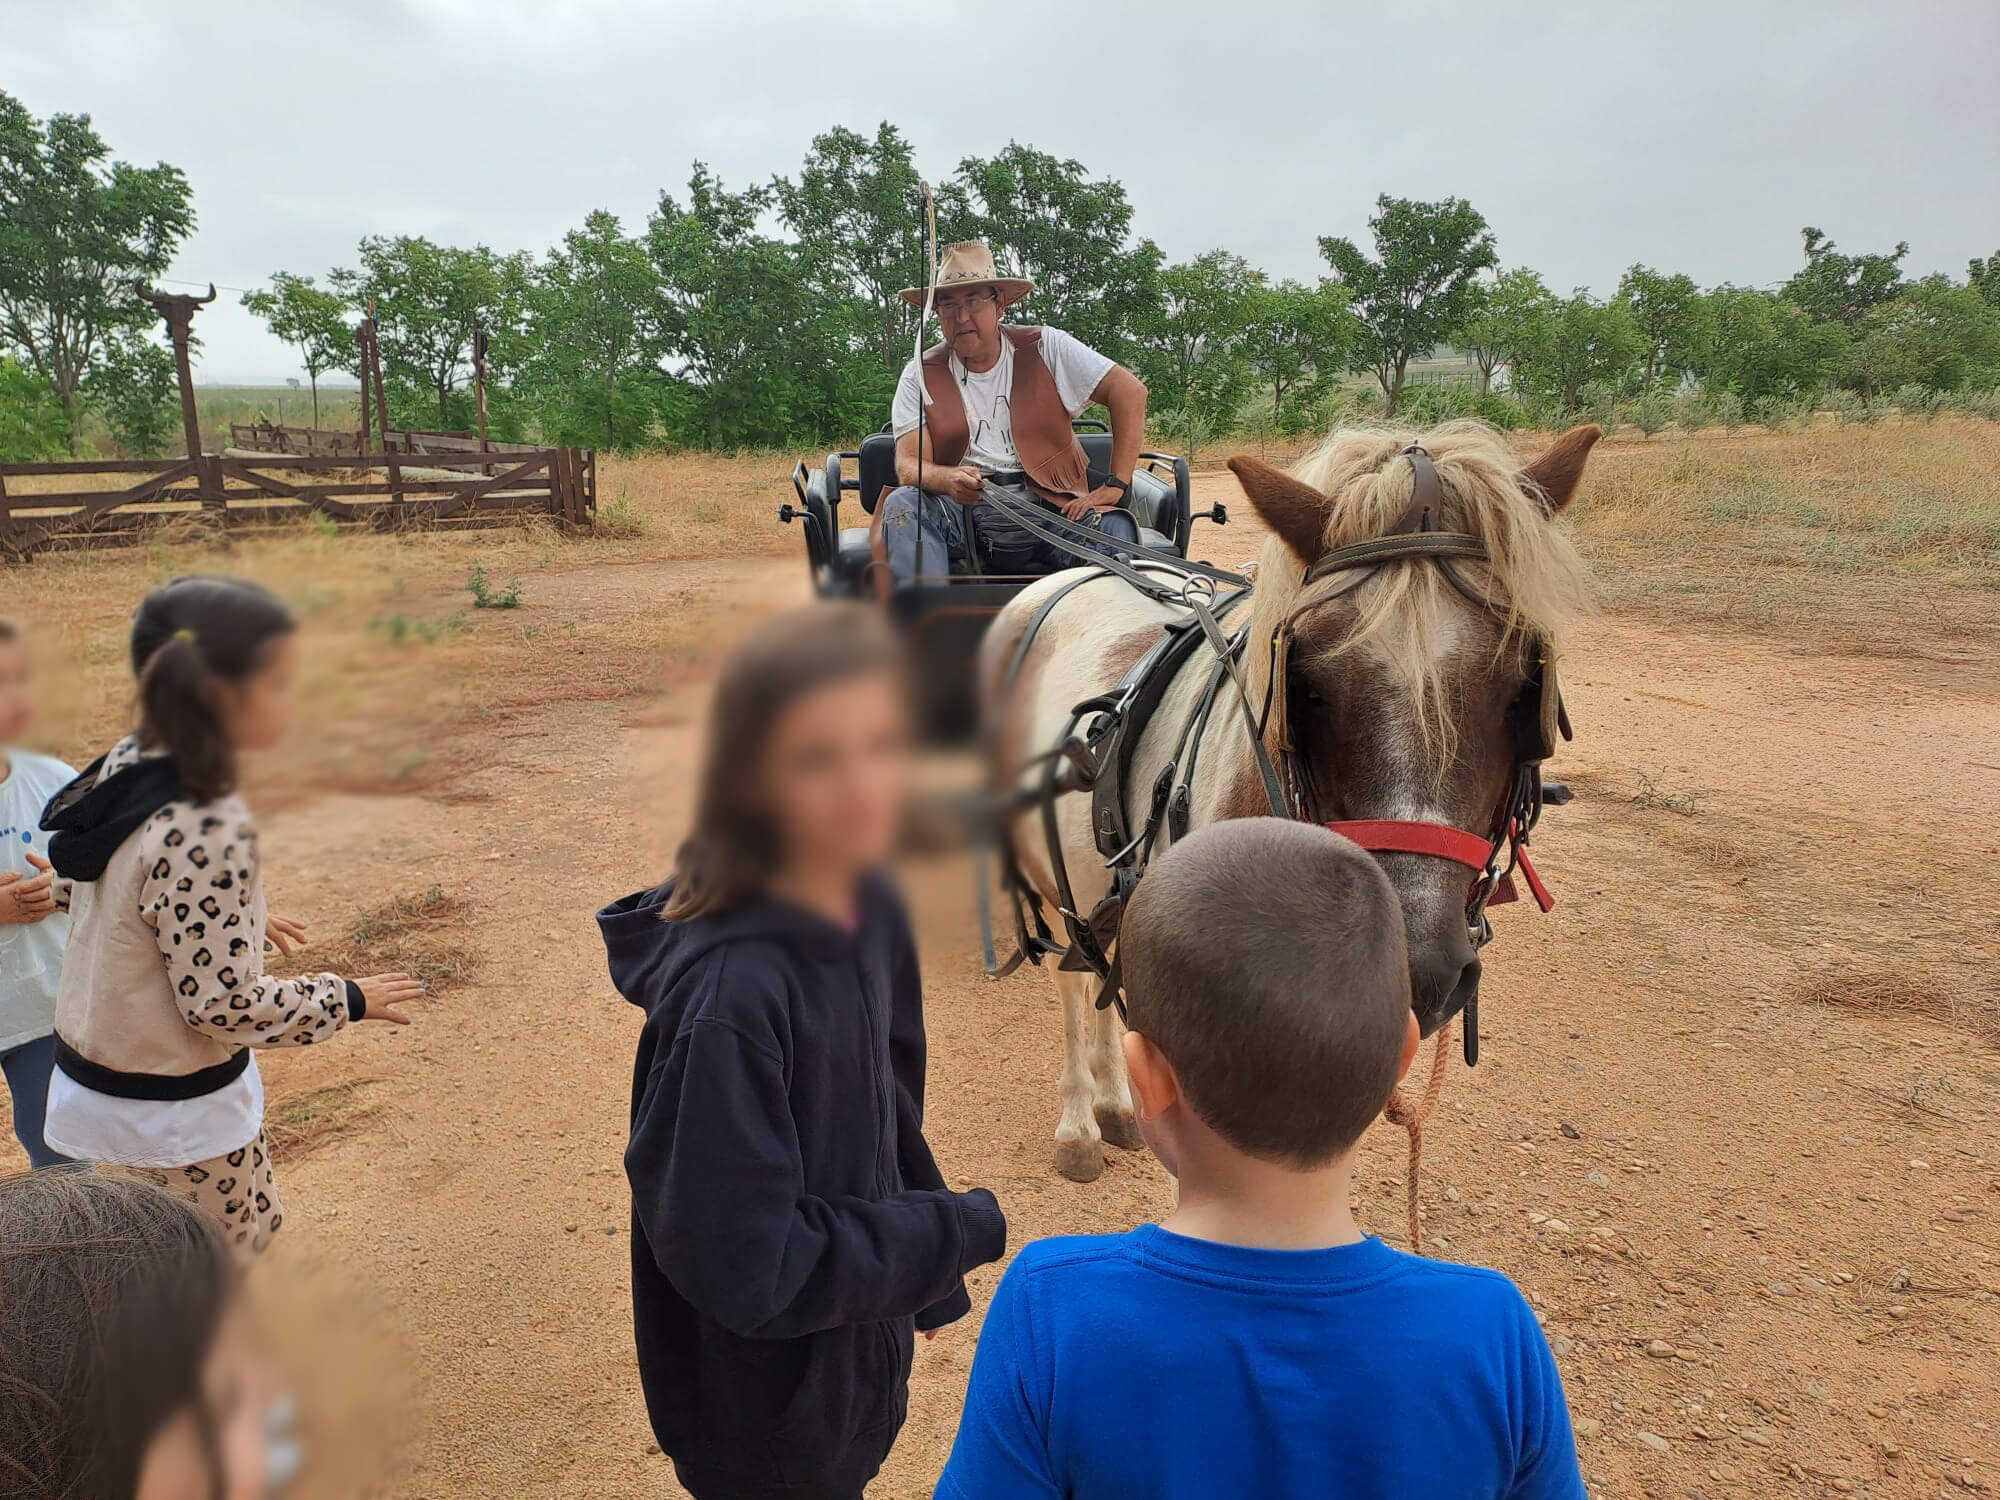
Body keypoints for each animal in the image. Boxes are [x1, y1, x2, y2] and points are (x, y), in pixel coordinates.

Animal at [976, 424, 1600, 1184]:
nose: (1412, 974)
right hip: (1050, 868)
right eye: (1307, 687)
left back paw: (1118, 1103)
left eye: (1520, 691)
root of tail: (1069, 575)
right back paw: (1080, 1123)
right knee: (1074, 979)